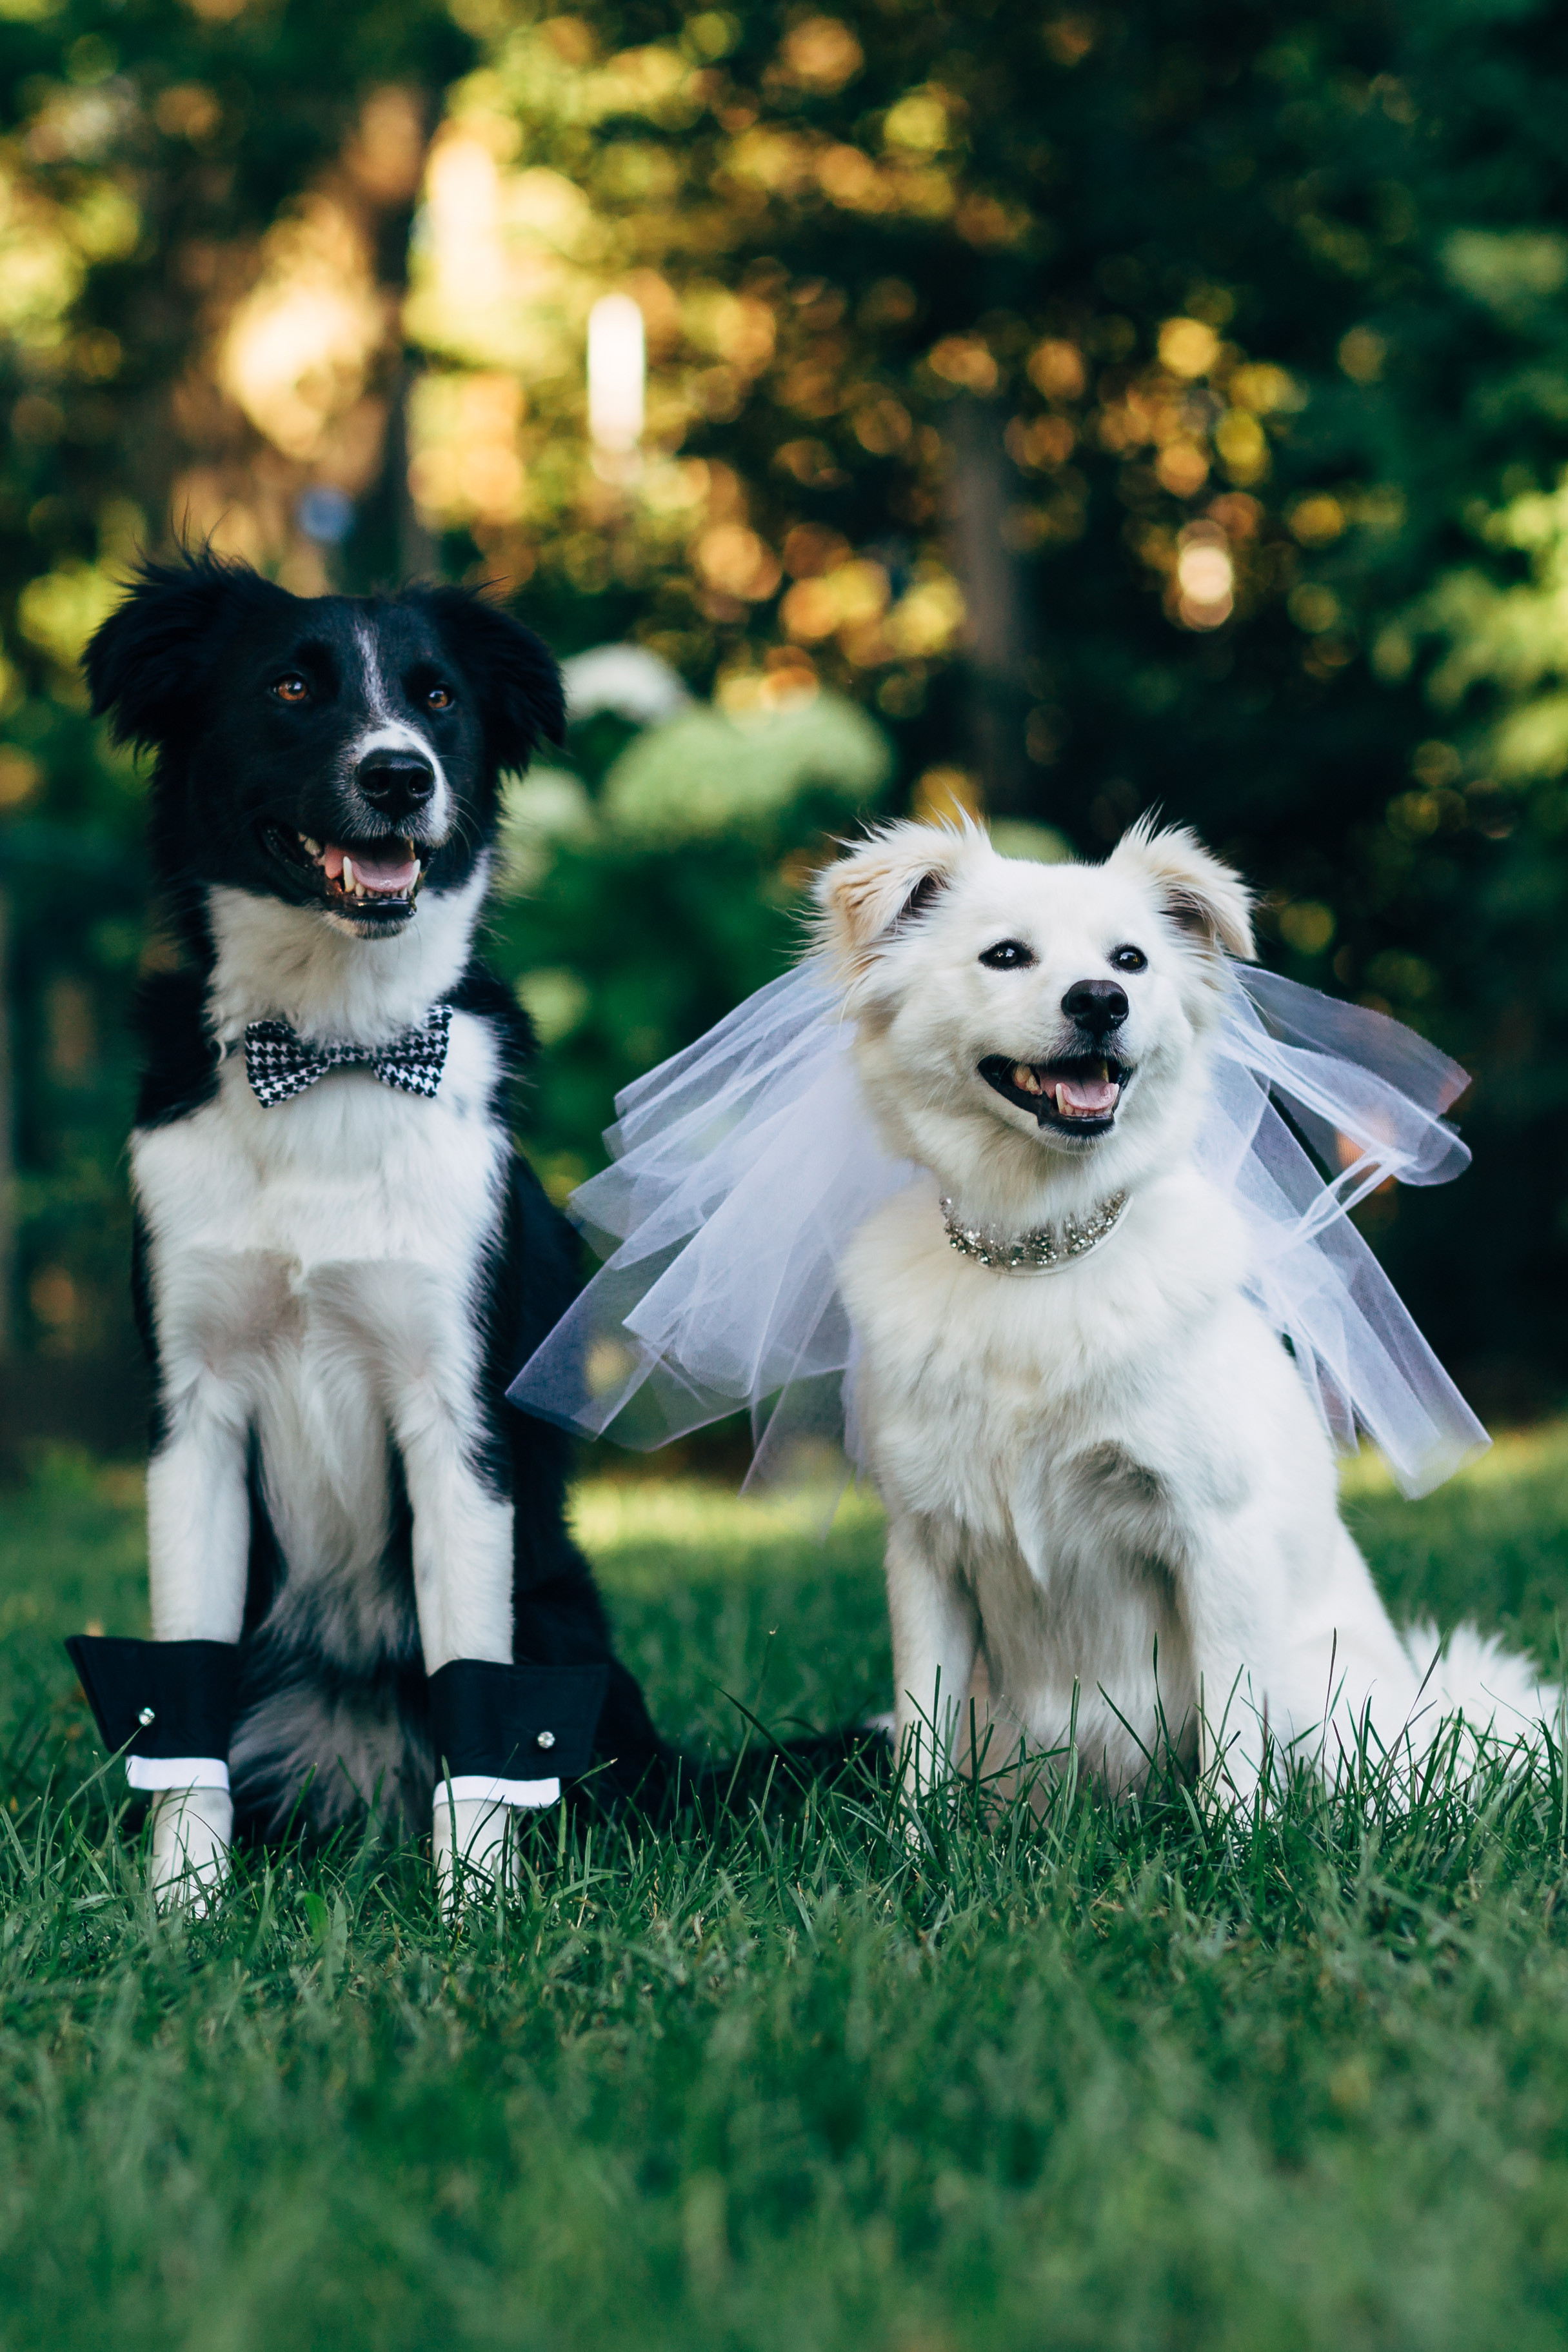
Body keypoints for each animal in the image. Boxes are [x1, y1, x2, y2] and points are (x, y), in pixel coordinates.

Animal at [75, 545, 662, 1891]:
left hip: (566, 1621)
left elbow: (482, 1712)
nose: (401, 774)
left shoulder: (457, 1419)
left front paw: (479, 1913)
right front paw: (182, 1908)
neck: (333, 1051)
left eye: (439, 698)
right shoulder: (194, 1416)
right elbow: (182, 1711)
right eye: (293, 686)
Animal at [818, 818, 1551, 1787]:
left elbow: (1229, 1731)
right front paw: (916, 1831)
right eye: (1005, 954)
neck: (1039, 1251)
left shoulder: (1213, 1534)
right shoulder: (925, 1551)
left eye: (1129, 959)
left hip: (1320, 1696)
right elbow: (921, 1735)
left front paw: (1235, 1827)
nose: (1100, 1001)